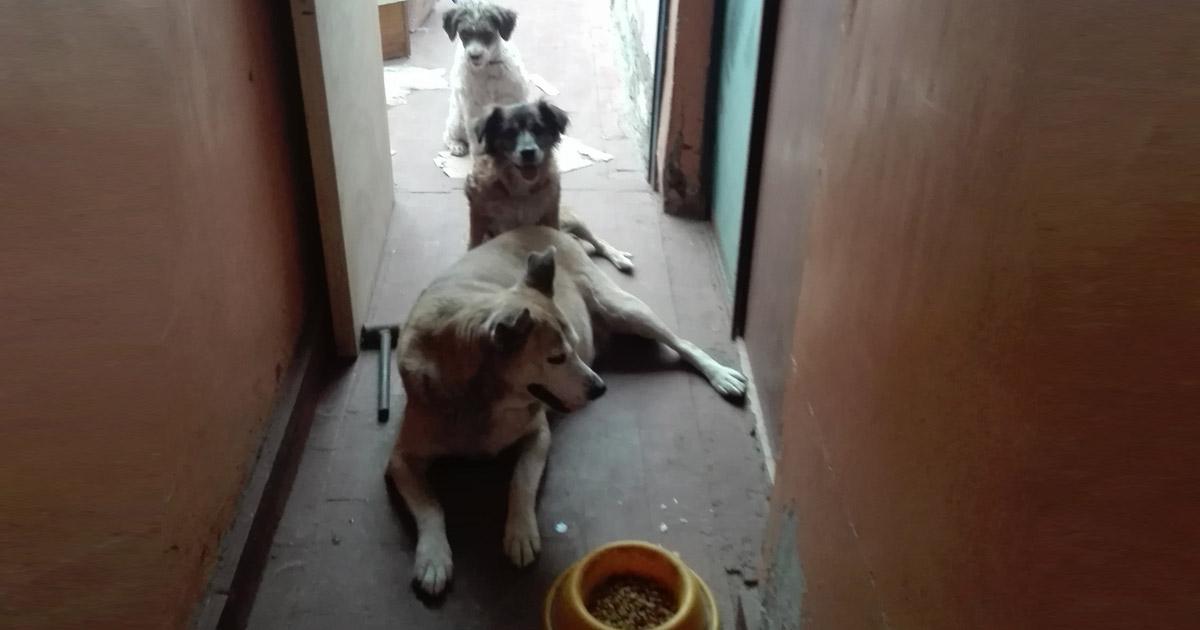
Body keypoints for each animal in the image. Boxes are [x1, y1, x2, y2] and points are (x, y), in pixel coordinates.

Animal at [388, 224, 744, 595]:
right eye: (556, 358)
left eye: (573, 346)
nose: (601, 389)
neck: (480, 396)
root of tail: (547, 227)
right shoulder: (401, 460)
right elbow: (431, 507)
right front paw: (433, 556)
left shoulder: (537, 435)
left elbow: (520, 482)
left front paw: (520, 532)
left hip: (622, 308)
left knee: (682, 343)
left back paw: (719, 374)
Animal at [444, 0, 528, 156]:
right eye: (464, 34)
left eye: (487, 34)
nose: (474, 56)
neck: (488, 69)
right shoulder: (473, 110)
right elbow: (477, 146)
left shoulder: (512, 100)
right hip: (457, 120)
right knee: (447, 134)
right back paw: (456, 145)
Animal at [465, 99, 638, 271]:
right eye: (509, 133)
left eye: (538, 129)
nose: (528, 152)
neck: (520, 188)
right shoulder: (478, 213)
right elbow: (474, 242)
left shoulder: (551, 212)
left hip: (574, 220)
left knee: (598, 241)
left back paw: (618, 258)